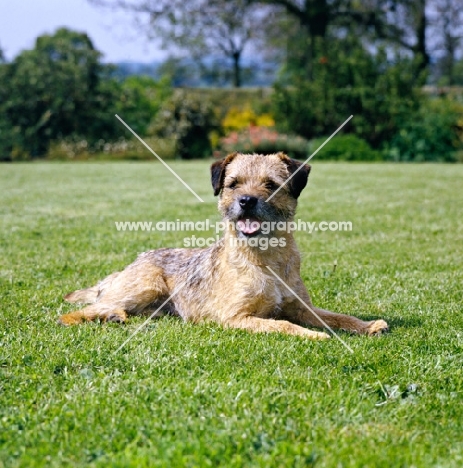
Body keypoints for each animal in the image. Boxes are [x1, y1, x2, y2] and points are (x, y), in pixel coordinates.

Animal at [59, 152, 392, 338]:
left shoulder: (302, 307)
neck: (265, 257)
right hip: (146, 285)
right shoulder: (237, 317)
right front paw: (313, 336)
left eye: (271, 185)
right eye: (233, 184)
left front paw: (367, 326)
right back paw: (107, 315)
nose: (246, 200)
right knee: (77, 312)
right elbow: (283, 326)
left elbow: (335, 316)